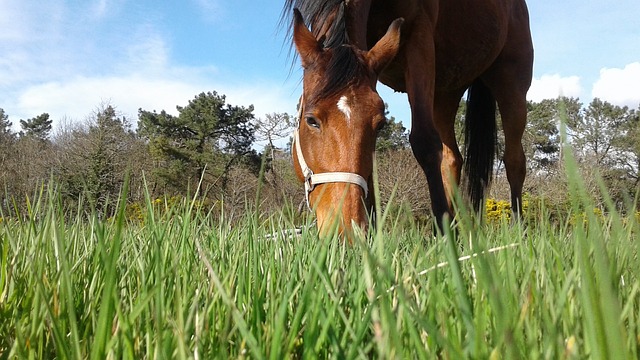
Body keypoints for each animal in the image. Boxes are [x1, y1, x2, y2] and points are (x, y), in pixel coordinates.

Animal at [284, 0, 536, 238]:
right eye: (311, 120)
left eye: (380, 125)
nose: (345, 230)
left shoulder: (419, 37)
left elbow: (425, 142)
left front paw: (442, 235)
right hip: (444, 94)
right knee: (452, 159)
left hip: (511, 84)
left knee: (514, 161)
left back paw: (517, 231)